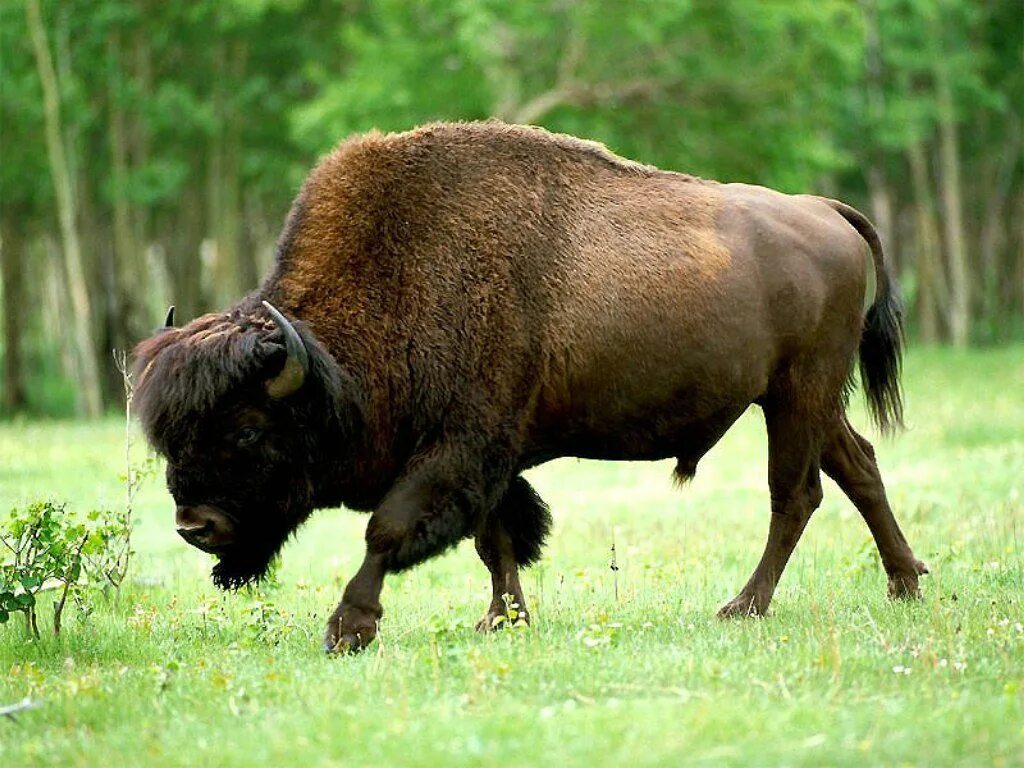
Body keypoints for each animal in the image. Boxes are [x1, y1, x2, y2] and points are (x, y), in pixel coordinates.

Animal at [134, 121, 929, 655]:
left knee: (795, 494)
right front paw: (502, 618)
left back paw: (745, 606)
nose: (194, 526)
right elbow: (496, 538)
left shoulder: (459, 448)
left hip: (798, 394)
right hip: (802, 398)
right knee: (857, 467)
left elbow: (389, 528)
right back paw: (907, 582)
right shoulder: (489, 455)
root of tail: (826, 210)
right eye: (172, 436)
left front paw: (348, 629)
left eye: (247, 430)